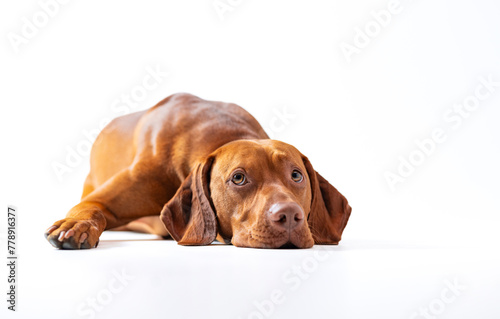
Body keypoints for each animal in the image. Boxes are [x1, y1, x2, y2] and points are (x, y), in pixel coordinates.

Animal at [46, 93, 352, 250]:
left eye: (296, 175)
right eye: (238, 178)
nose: (289, 216)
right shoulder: (99, 199)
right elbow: (90, 208)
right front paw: (76, 225)